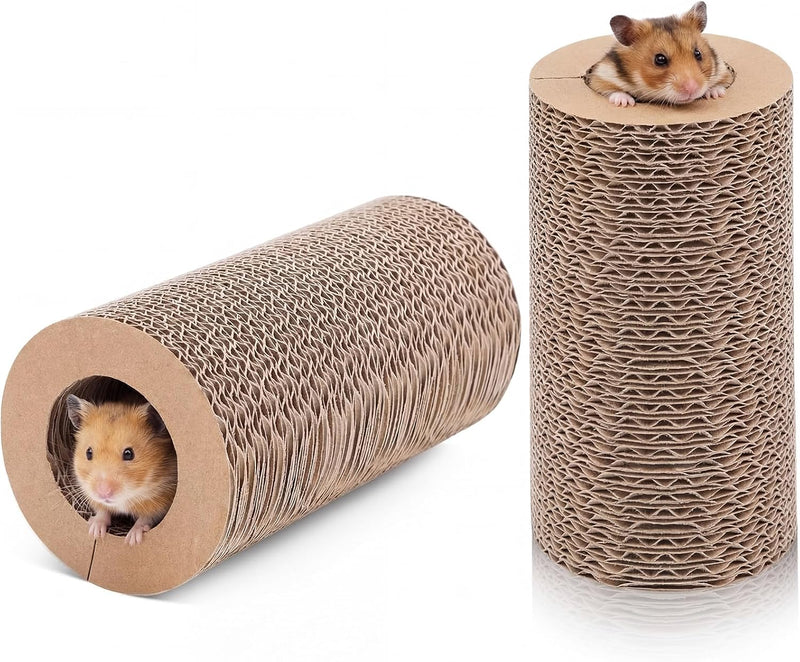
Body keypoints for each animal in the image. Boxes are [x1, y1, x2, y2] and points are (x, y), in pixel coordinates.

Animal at [67, 394, 177, 546]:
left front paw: (132, 540)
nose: (103, 493)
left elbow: (147, 517)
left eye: (129, 453)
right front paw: (95, 531)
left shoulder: (164, 498)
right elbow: (102, 510)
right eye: (88, 453)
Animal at [584, 2, 735, 107]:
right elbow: (610, 89)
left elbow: (721, 83)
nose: (692, 89)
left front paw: (715, 94)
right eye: (660, 59)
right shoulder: (601, 75)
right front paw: (625, 103)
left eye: (698, 53)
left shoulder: (723, 70)